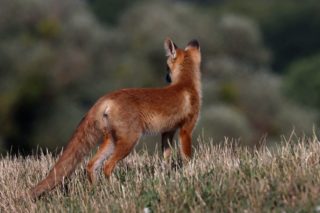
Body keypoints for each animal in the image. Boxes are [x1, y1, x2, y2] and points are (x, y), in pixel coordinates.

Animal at [28, 37, 201, 199]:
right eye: (166, 67)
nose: (166, 77)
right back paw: (115, 189)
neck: (186, 84)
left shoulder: (167, 132)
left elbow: (166, 158)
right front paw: (189, 175)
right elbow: (187, 158)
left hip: (112, 140)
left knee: (91, 165)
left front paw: (166, 176)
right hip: (129, 141)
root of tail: (107, 97)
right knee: (107, 166)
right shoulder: (186, 129)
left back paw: (96, 192)